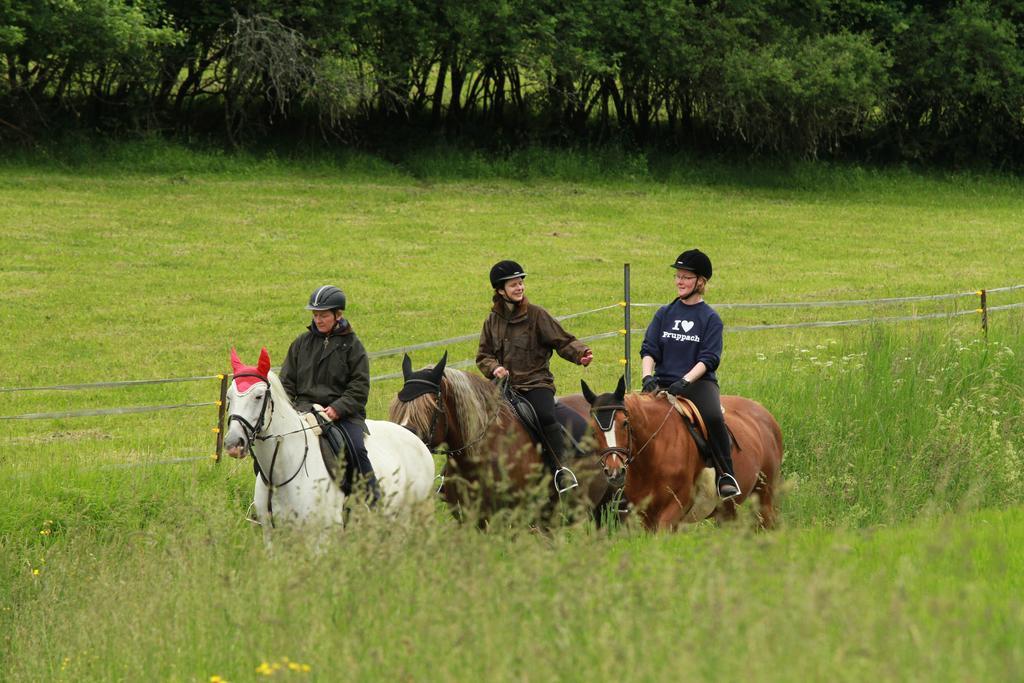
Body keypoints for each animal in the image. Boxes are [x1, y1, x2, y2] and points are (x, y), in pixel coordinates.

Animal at [226, 350, 434, 540]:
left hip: (405, 516)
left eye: (258, 396)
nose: (233, 443)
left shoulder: (321, 537)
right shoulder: (272, 536)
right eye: (229, 397)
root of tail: (416, 440)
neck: (283, 472)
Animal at [585, 376, 782, 532]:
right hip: (728, 508)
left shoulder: (675, 506)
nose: (614, 471)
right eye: (593, 429)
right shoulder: (646, 514)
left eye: (625, 423)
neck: (653, 454)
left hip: (765, 495)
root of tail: (765, 413)